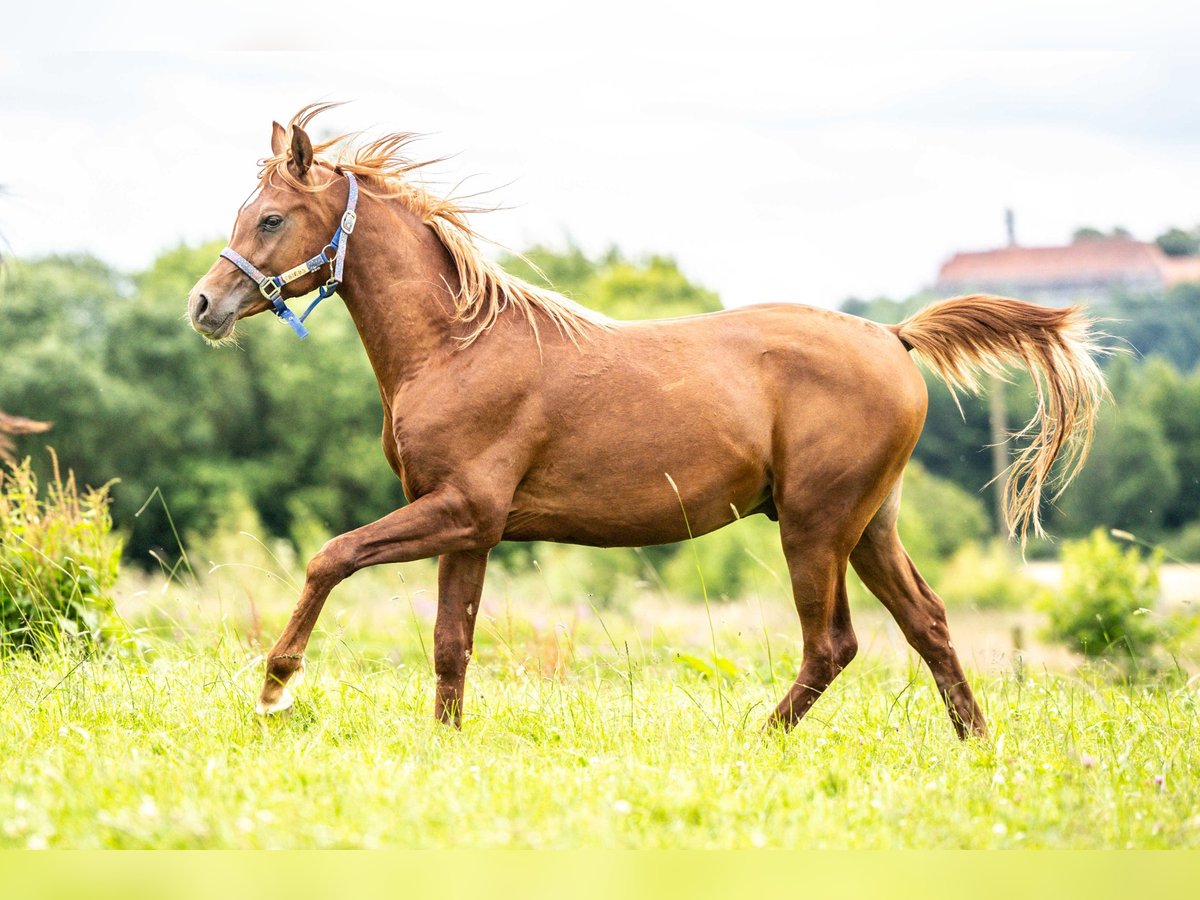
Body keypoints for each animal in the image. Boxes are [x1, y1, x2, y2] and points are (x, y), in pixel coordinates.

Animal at [189, 107, 1104, 739]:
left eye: (271, 218)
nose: (203, 304)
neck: (456, 345)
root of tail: (893, 335)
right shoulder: (469, 528)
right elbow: (452, 643)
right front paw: (444, 743)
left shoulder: (461, 511)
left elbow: (331, 556)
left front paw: (275, 683)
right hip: (869, 525)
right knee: (929, 624)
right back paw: (976, 744)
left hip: (815, 527)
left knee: (833, 644)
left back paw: (760, 740)